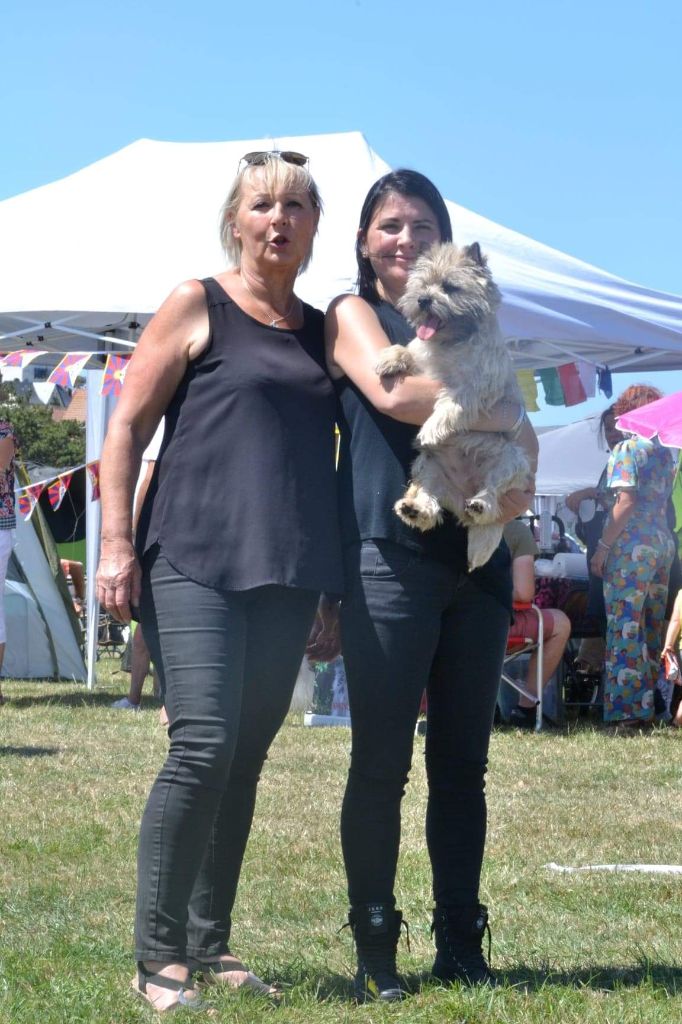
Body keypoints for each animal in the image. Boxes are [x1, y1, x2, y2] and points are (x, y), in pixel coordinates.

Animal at [374, 241, 531, 570]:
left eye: (449, 286)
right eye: (422, 285)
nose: (423, 300)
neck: (450, 343)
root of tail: (461, 496)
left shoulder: (475, 387)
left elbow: (453, 404)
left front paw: (432, 427)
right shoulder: (421, 360)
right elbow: (408, 350)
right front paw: (389, 358)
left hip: (510, 460)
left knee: (493, 494)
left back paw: (480, 504)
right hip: (427, 467)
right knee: (431, 503)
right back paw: (413, 508)